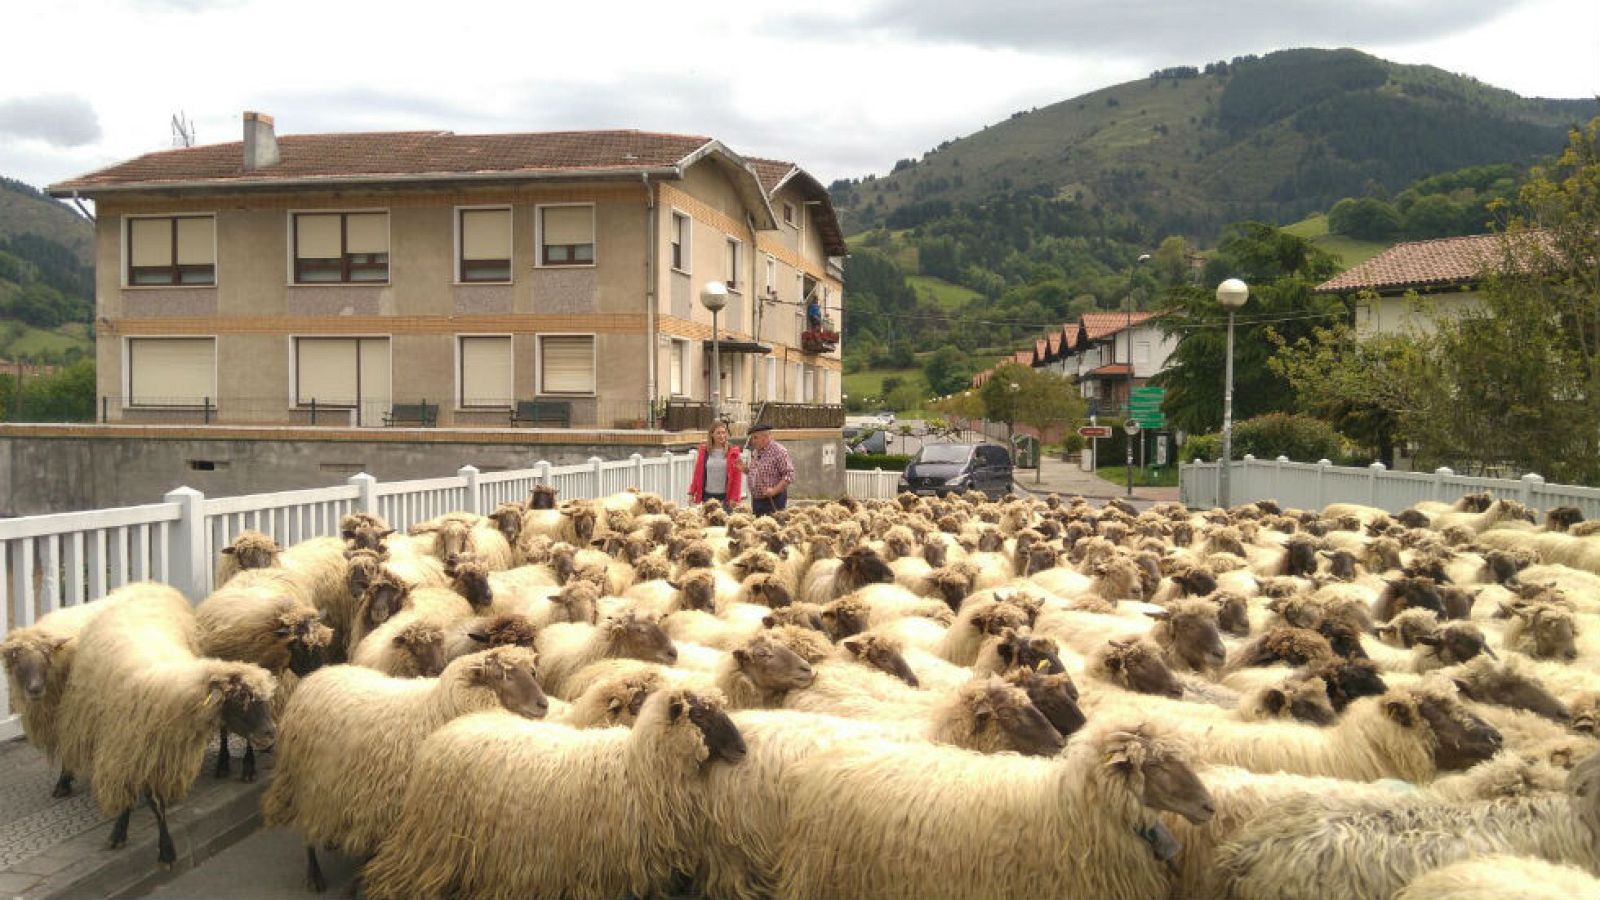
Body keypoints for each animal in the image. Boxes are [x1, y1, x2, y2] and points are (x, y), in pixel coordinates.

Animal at [55, 583, 277, 867]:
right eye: (239, 700)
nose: (270, 733)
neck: (173, 689)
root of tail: (147, 586)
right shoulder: (130, 747)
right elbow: (139, 794)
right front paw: (124, 834)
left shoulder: (160, 751)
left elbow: (156, 801)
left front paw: (165, 848)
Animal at [262, 646, 546, 890]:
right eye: (501, 676)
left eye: (532, 671)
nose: (543, 704)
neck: (436, 711)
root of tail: (315, 677)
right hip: (302, 779)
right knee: (306, 828)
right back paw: (314, 875)